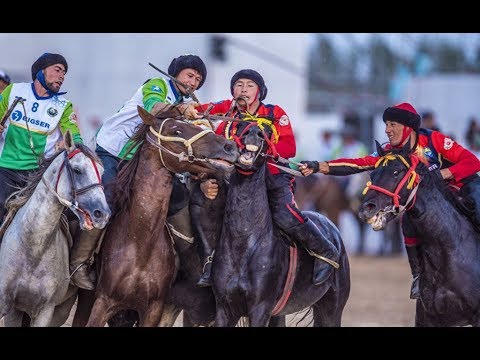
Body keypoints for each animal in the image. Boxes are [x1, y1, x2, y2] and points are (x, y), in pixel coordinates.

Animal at [0, 131, 109, 328]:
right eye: (77, 170)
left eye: (102, 173)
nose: (102, 213)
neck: (32, 248)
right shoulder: (6, 303)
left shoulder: (46, 310)